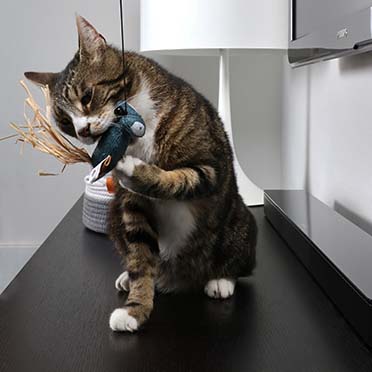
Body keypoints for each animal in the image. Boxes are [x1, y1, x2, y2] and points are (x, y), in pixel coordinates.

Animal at [25, 16, 256, 332]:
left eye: (87, 96)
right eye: (65, 123)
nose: (83, 131)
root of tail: (181, 279)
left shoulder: (210, 168)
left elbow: (177, 179)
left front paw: (130, 168)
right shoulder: (131, 207)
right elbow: (141, 257)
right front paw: (135, 309)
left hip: (239, 224)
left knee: (239, 263)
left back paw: (220, 279)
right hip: (114, 219)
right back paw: (130, 277)